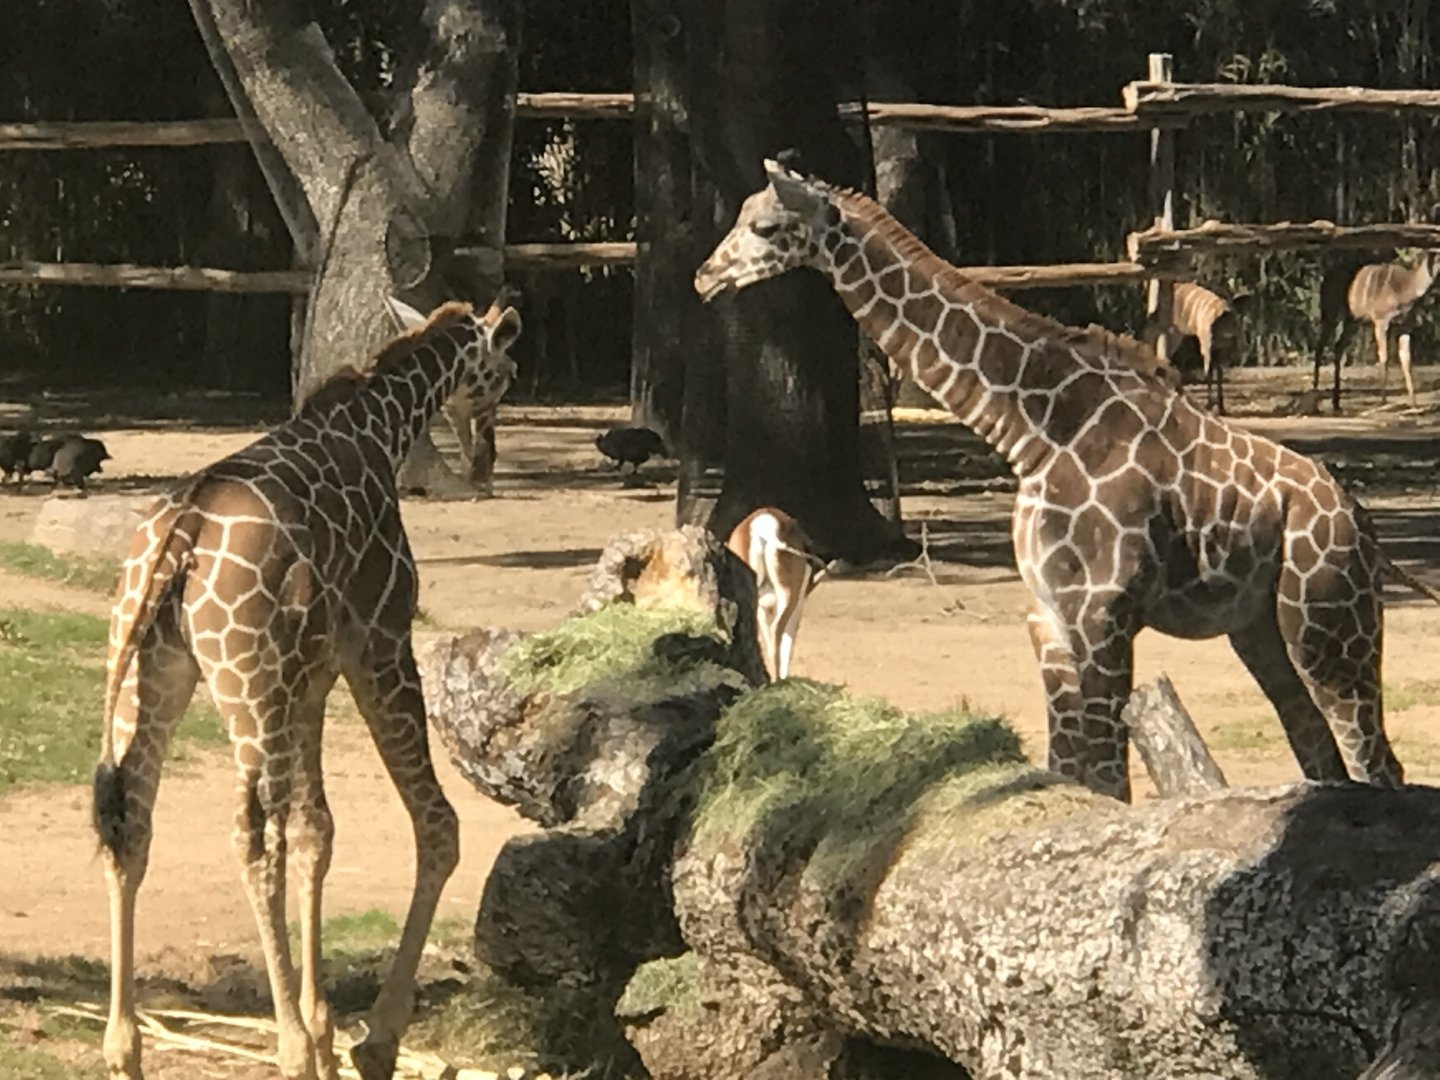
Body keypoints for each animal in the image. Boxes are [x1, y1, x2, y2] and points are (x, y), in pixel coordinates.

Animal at [94, 296, 522, 1080]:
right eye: (504, 372)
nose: (485, 462)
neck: (377, 427)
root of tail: (181, 534)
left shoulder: (312, 679)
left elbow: (316, 830)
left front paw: (326, 1029)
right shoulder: (378, 639)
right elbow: (436, 824)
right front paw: (367, 1039)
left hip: (151, 671)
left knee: (132, 824)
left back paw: (126, 1048)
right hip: (246, 683)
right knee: (252, 840)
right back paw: (287, 1044)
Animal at [695, 159, 1404, 803]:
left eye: (764, 225)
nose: (705, 276)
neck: (1034, 432)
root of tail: (1361, 522)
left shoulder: (1103, 615)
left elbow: (1111, 781)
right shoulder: (1049, 618)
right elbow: (1074, 775)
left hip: (1328, 624)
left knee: (1376, 762)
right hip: (1261, 629)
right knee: (1323, 753)